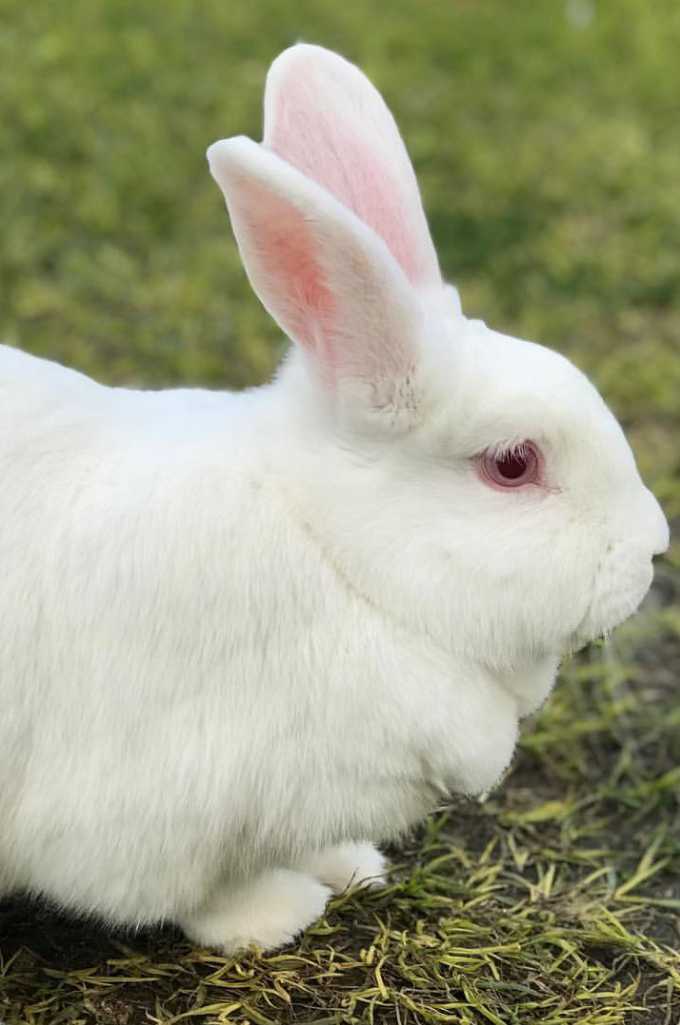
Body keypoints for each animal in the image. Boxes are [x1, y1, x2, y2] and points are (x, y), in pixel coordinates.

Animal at [0, 44, 668, 947]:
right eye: (512, 464)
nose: (653, 545)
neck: (338, 561)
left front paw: (350, 865)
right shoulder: (144, 814)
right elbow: (193, 892)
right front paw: (273, 912)